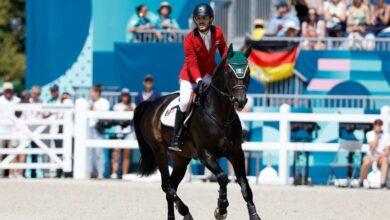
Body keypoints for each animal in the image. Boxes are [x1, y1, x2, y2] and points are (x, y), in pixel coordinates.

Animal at [135, 43, 262, 220]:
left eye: (248, 71)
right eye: (229, 72)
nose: (240, 101)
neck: (220, 114)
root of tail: (151, 105)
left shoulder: (236, 152)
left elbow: (244, 185)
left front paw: (254, 215)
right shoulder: (205, 154)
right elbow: (223, 178)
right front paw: (221, 209)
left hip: (181, 158)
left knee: (171, 186)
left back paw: (175, 216)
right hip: (159, 151)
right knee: (167, 186)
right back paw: (185, 212)